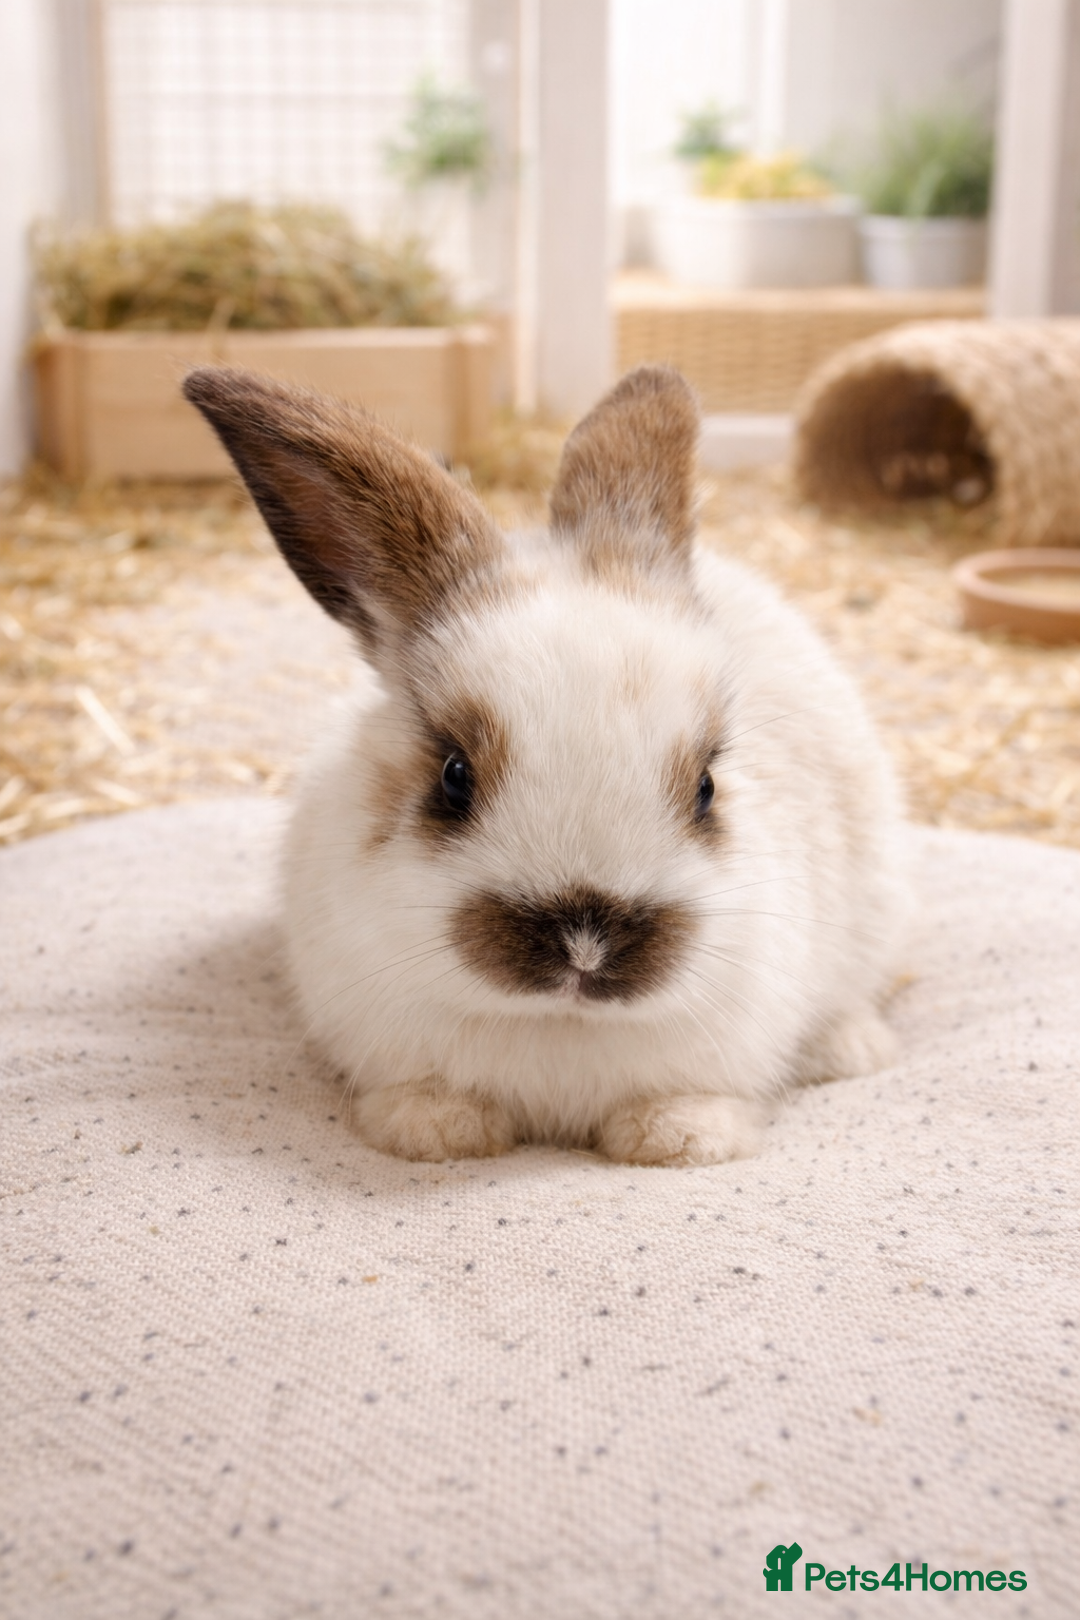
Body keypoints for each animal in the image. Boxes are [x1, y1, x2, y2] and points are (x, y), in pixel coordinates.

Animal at [183, 363, 907, 1167]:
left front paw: (677, 1138)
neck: (560, 1024)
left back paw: (851, 1050)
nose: (586, 948)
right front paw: (436, 1131)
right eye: (453, 777)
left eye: (707, 787)